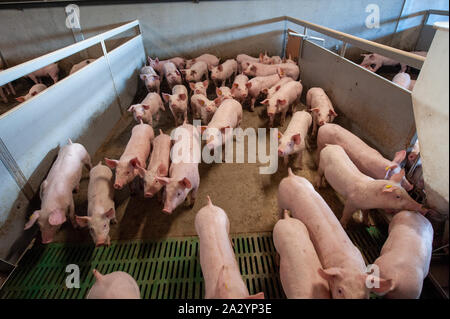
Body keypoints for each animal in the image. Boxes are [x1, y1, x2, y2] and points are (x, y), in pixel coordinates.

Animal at [276, 169, 392, 298]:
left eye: (365, 295)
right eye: (340, 290)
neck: (348, 264)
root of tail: (291, 176)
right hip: (281, 198)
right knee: (280, 209)